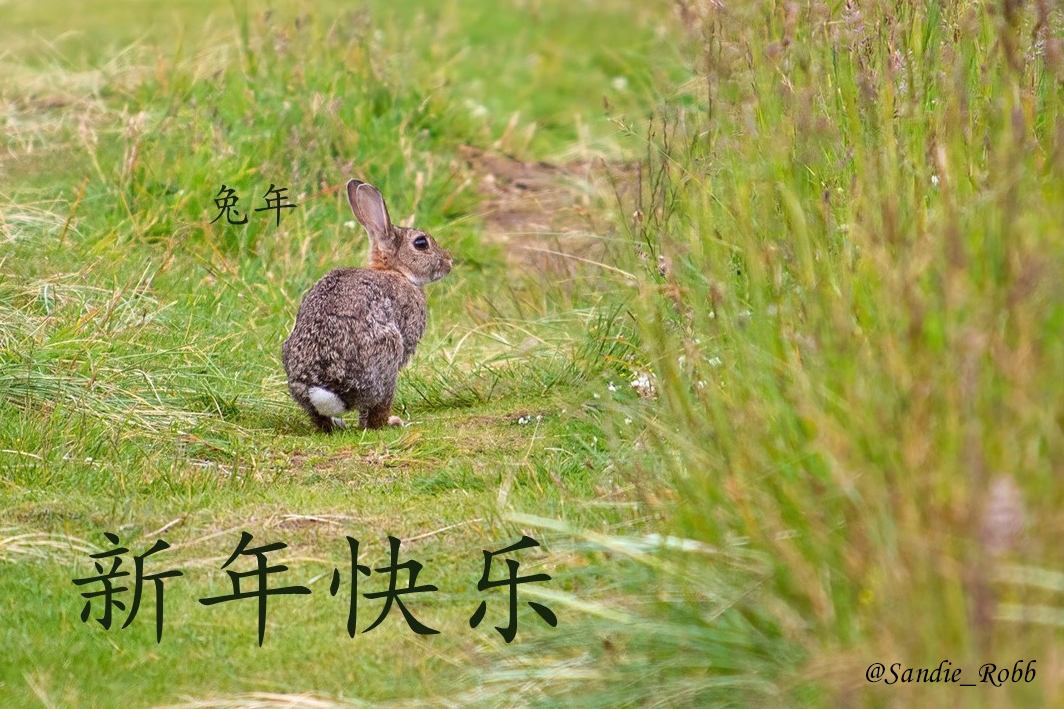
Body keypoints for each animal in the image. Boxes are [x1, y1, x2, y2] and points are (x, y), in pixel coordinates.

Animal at [282, 179, 452, 432]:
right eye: (421, 243)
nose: (449, 262)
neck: (396, 271)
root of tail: (328, 389)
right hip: (388, 360)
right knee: (378, 407)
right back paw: (391, 422)